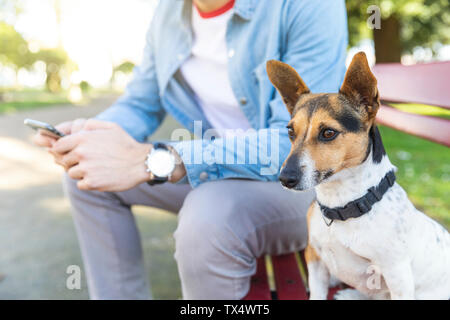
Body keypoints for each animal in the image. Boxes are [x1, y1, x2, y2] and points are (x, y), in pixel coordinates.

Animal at [268, 51, 450, 298]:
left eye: (328, 133)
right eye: (290, 131)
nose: (285, 178)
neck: (343, 205)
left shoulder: (398, 276)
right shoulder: (315, 259)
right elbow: (317, 293)